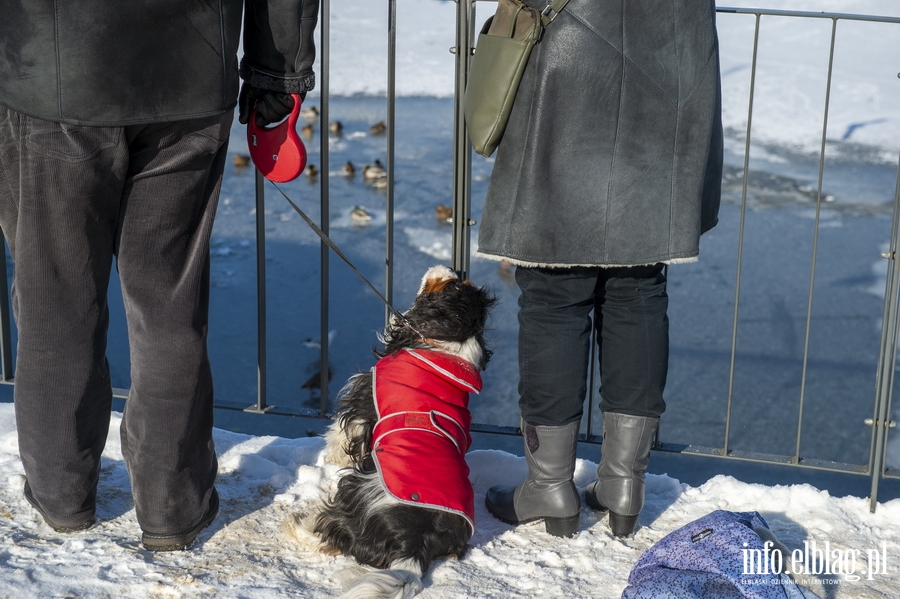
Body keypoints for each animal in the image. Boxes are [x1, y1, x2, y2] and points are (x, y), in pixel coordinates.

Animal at [294, 268, 492, 599]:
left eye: (451, 286)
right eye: (459, 283)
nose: (452, 269)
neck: (447, 347)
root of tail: (414, 545)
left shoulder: (364, 401)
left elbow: (341, 434)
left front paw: (331, 457)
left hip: (361, 487)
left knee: (332, 528)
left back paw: (301, 525)